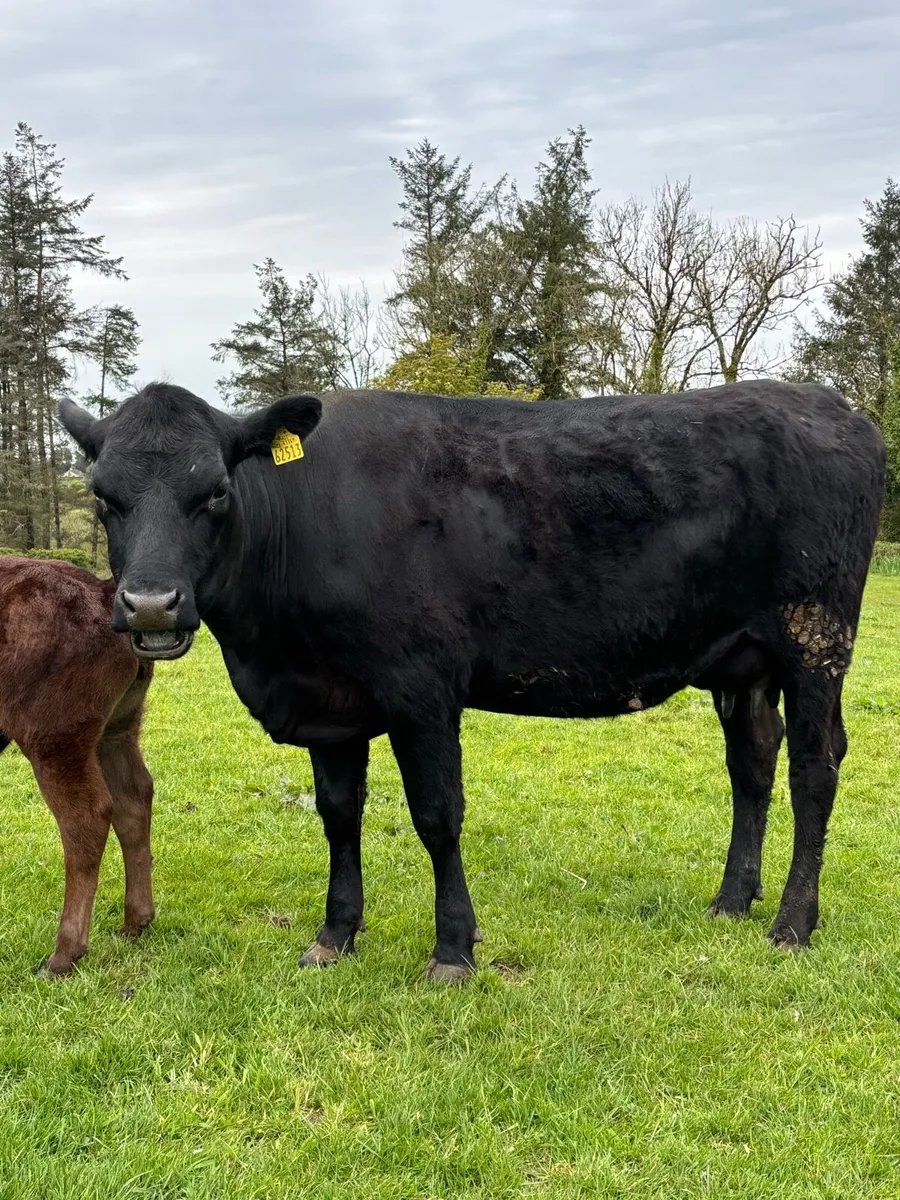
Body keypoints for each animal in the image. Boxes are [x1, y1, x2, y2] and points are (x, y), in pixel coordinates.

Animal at [0, 556, 154, 975]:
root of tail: (102, 591)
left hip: (54, 740)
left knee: (86, 818)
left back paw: (64, 954)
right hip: (116, 730)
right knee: (134, 799)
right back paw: (136, 922)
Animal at [59, 380, 885, 983]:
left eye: (216, 493)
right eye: (103, 496)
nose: (151, 604)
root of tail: (837, 406)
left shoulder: (421, 689)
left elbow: (436, 817)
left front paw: (453, 949)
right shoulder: (329, 702)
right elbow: (338, 815)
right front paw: (334, 934)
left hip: (817, 636)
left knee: (814, 770)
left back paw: (791, 923)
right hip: (743, 660)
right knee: (753, 762)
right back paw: (731, 900)